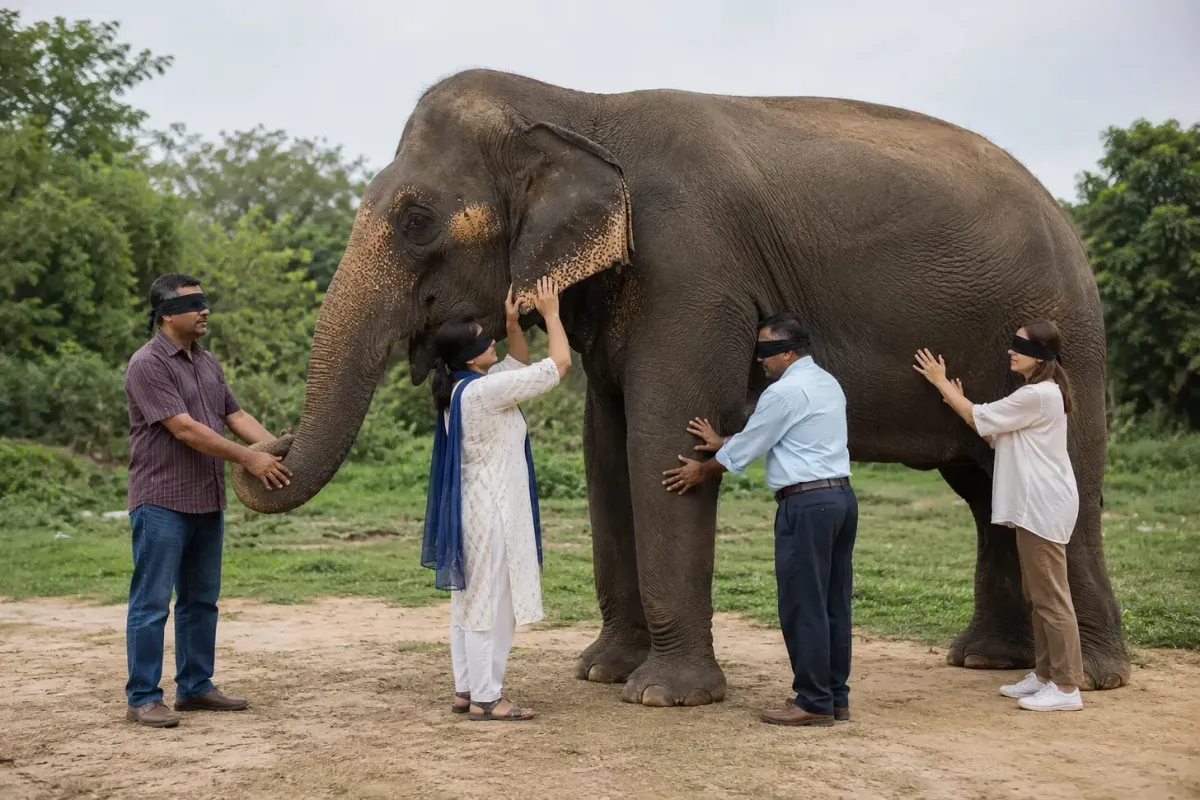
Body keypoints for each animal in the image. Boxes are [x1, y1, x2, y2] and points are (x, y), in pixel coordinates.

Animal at [232, 69, 1128, 705]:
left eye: (418, 220)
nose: (261, 451)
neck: (577, 104)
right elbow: (605, 448)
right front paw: (601, 673)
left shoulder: (691, 267)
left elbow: (659, 437)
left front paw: (662, 697)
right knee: (985, 485)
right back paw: (985, 661)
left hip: (1070, 335)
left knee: (1069, 483)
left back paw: (1091, 677)